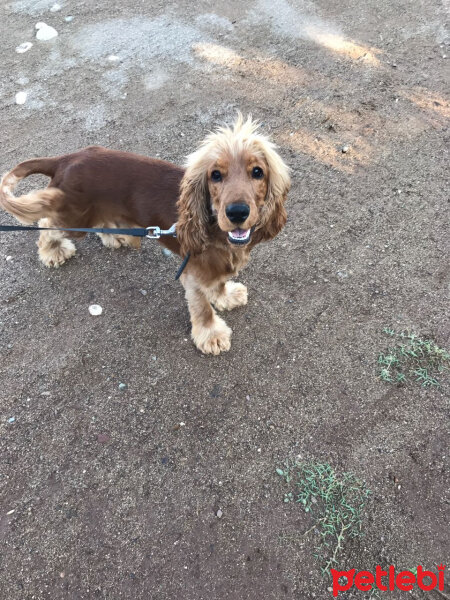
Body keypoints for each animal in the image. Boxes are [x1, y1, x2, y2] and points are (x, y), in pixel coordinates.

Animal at [0, 115, 292, 354]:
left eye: (257, 172)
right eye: (215, 175)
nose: (237, 212)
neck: (216, 232)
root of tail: (68, 158)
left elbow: (219, 283)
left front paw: (225, 296)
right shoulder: (192, 273)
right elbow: (202, 308)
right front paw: (211, 335)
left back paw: (114, 236)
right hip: (73, 216)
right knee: (47, 222)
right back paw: (53, 251)